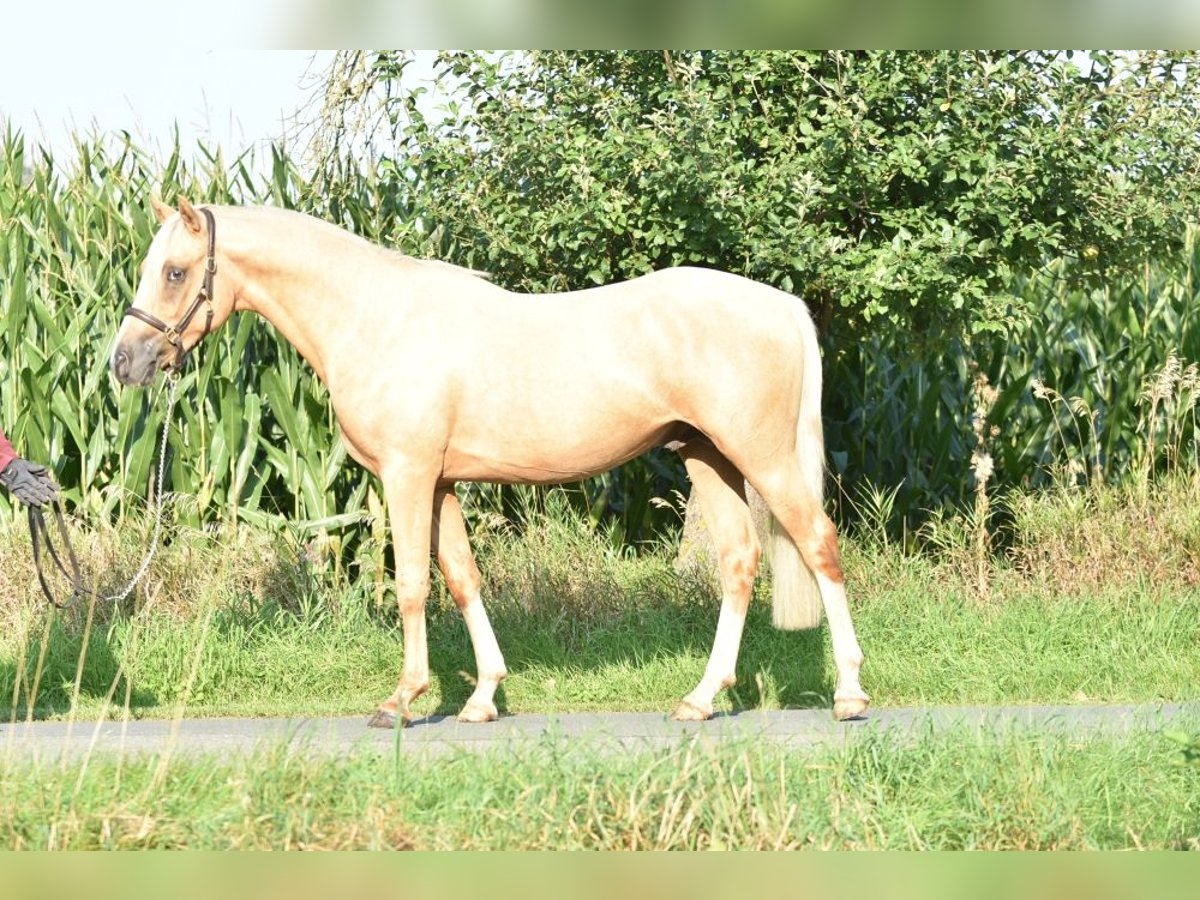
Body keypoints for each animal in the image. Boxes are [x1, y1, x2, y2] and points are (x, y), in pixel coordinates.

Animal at [108, 196, 868, 724]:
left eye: (175, 272)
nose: (125, 363)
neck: (374, 317)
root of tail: (782, 304)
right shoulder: (441, 482)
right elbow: (462, 577)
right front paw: (482, 699)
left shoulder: (408, 474)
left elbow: (413, 584)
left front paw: (403, 699)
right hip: (708, 457)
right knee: (739, 563)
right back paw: (700, 699)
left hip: (763, 457)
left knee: (819, 545)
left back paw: (850, 694)